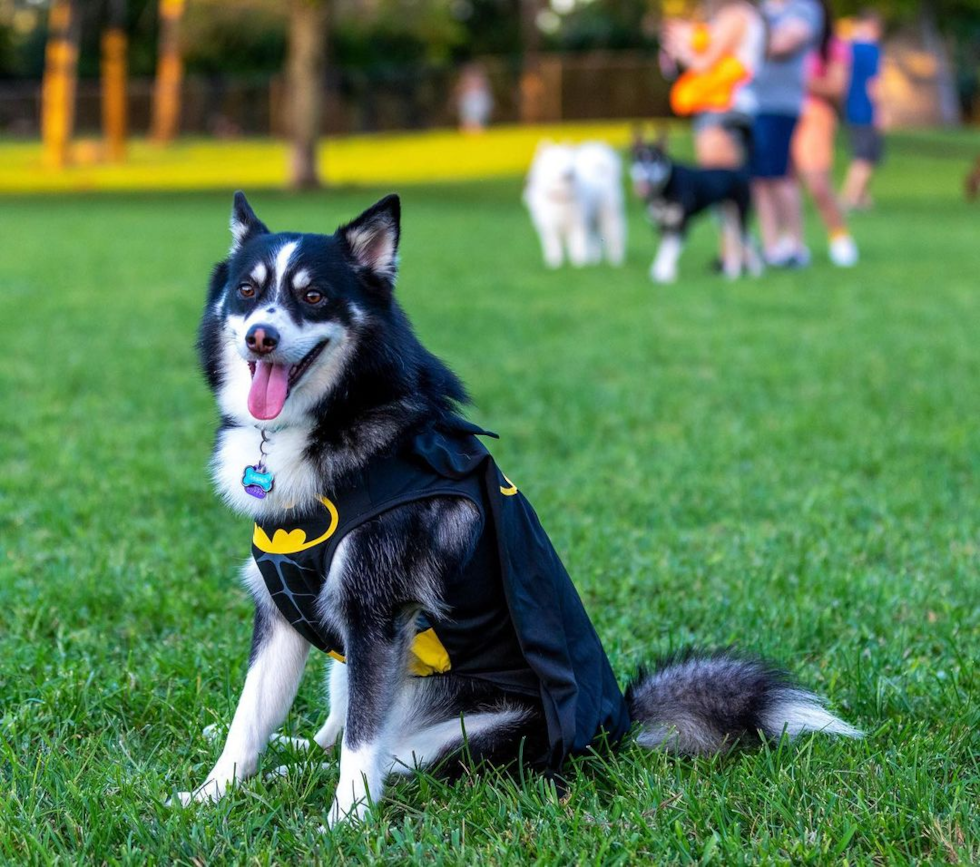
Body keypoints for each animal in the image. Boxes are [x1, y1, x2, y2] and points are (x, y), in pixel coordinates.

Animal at [174, 193, 856, 824]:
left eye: (313, 297)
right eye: (247, 291)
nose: (261, 336)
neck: (337, 418)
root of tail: (616, 728)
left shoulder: (376, 615)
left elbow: (361, 750)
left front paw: (344, 823)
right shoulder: (287, 612)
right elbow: (248, 722)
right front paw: (209, 796)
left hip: (453, 734)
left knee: (382, 754)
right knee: (330, 738)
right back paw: (290, 754)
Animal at [524, 141, 624, 270]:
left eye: (569, 162)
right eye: (557, 161)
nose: (569, 173)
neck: (561, 197)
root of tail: (601, 172)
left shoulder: (577, 225)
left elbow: (577, 246)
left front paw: (578, 265)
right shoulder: (550, 227)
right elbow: (554, 246)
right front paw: (555, 264)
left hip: (608, 219)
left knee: (615, 239)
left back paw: (616, 261)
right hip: (592, 222)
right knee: (595, 241)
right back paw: (594, 261)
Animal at [632, 136, 760, 284]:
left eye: (655, 159)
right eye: (639, 159)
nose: (645, 173)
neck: (665, 186)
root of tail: (741, 172)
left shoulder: (683, 225)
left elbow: (669, 251)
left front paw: (663, 274)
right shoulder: (661, 226)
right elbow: (663, 249)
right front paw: (666, 273)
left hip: (738, 217)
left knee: (747, 241)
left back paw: (755, 273)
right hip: (725, 219)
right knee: (740, 241)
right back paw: (732, 274)